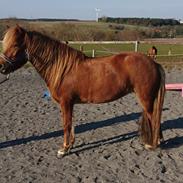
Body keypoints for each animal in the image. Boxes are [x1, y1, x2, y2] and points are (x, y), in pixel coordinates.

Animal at [0, 26, 166, 157]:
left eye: (15, 44)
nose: (1, 67)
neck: (63, 69)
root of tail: (153, 63)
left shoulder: (66, 102)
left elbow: (66, 124)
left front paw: (64, 149)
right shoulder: (69, 104)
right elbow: (70, 123)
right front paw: (70, 145)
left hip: (146, 100)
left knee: (153, 118)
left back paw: (152, 144)